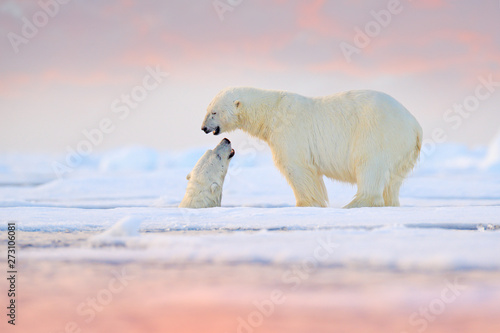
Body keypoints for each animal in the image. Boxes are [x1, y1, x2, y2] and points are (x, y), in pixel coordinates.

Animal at [201, 87, 424, 206]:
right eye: (208, 109)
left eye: (214, 112)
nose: (203, 128)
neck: (272, 112)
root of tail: (415, 125)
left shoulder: (290, 133)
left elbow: (296, 168)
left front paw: (306, 204)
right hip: (404, 150)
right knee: (393, 180)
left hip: (377, 133)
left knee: (370, 166)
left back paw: (354, 204)